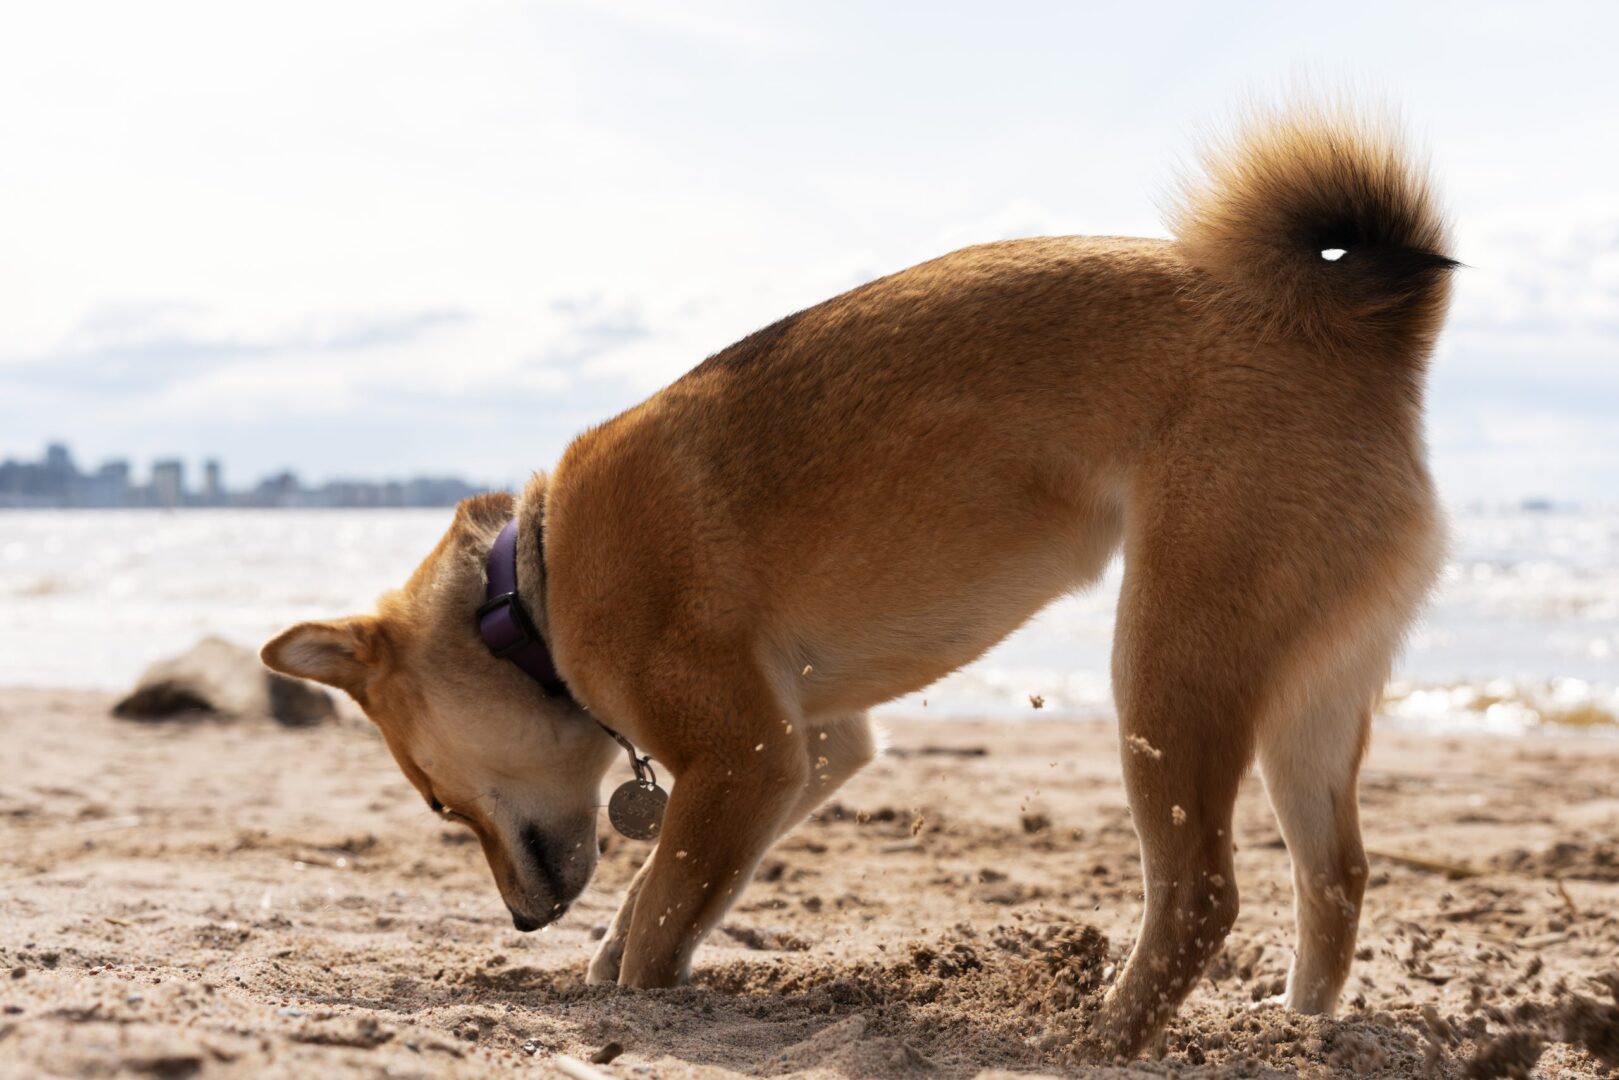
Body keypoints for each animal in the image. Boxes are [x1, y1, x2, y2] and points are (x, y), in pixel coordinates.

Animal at [262, 103, 1457, 1055]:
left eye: (435, 801)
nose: (519, 924)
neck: (536, 590)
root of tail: (1351, 333)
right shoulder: (812, 748)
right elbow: (666, 887)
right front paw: (608, 955)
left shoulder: (745, 757)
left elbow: (664, 912)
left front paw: (632, 988)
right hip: (1307, 701)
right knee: (1334, 876)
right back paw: (1301, 1028)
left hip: (1167, 673)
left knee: (1202, 893)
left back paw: (1105, 1038)